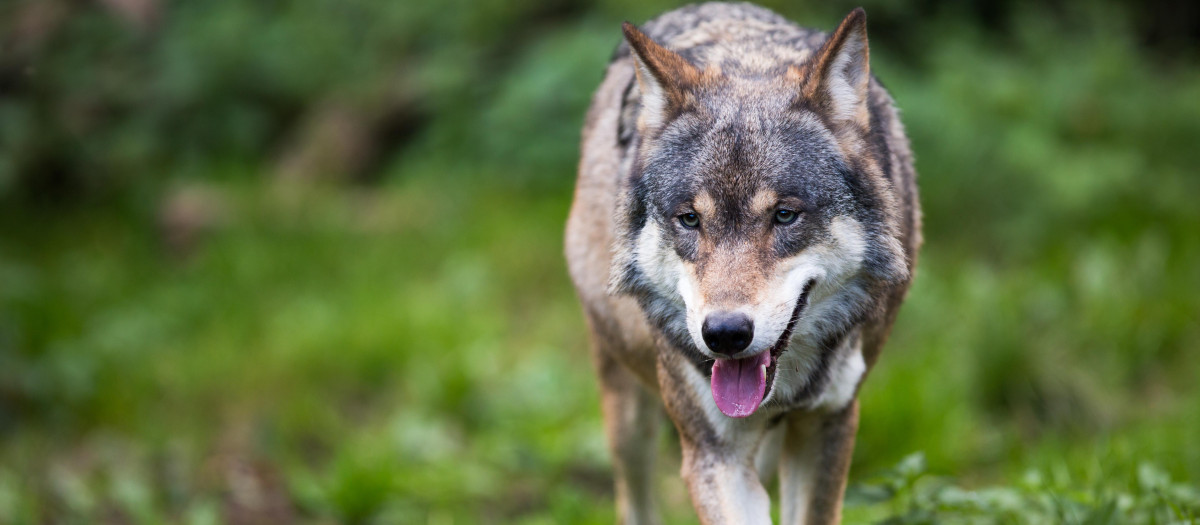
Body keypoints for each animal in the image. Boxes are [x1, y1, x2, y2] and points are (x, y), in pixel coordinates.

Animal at [565, 3, 920, 524]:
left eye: (785, 215)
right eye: (690, 219)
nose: (725, 334)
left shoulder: (829, 424)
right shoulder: (715, 454)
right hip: (629, 411)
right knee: (633, 498)